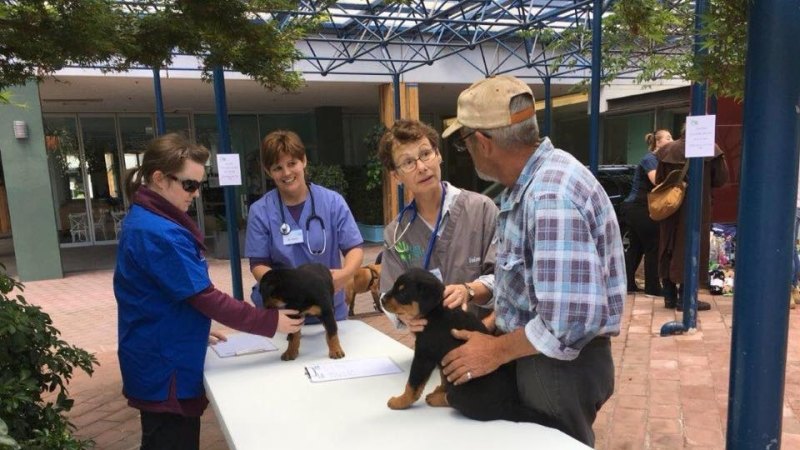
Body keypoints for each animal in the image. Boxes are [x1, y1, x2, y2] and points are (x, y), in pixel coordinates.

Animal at [382, 268, 544, 424]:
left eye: (403, 292)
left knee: (454, 400)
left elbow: (412, 384)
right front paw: (440, 388)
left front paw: (399, 402)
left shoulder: (423, 355)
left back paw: (436, 398)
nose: (382, 300)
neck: (435, 311)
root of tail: (509, 406)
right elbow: (444, 376)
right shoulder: (441, 358)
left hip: (460, 394)